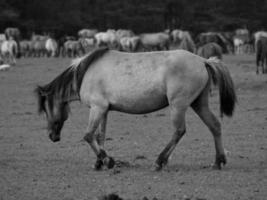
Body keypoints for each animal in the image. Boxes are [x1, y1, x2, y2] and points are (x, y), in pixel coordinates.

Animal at [35, 47, 237, 171]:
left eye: (46, 108)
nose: (52, 136)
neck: (86, 73)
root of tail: (203, 60)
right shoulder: (104, 110)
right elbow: (100, 137)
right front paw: (99, 162)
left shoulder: (97, 108)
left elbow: (88, 135)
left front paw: (107, 161)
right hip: (198, 104)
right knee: (214, 126)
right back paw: (218, 161)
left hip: (178, 106)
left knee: (179, 131)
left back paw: (159, 162)